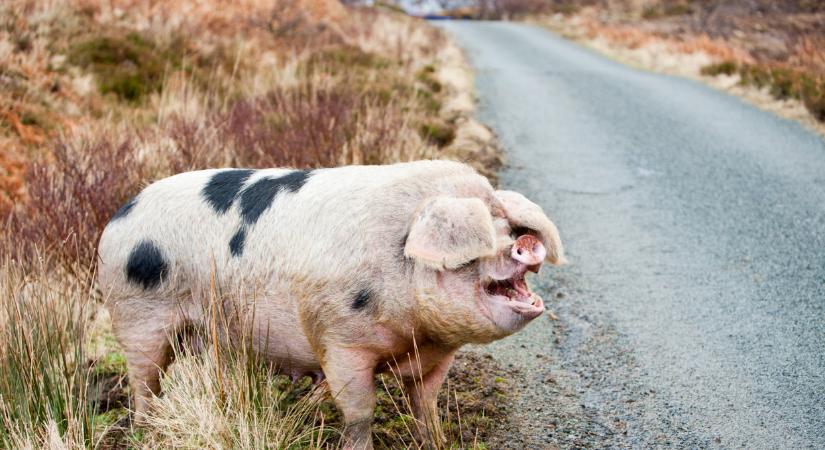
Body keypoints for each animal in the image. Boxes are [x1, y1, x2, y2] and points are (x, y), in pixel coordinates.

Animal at [95, 160, 560, 448]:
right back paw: (144, 430)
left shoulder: (436, 356)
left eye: (508, 225)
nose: (525, 240)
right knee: (143, 384)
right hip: (136, 318)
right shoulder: (340, 340)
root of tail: (119, 215)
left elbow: (425, 405)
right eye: (485, 237)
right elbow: (359, 411)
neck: (416, 334)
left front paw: (437, 442)